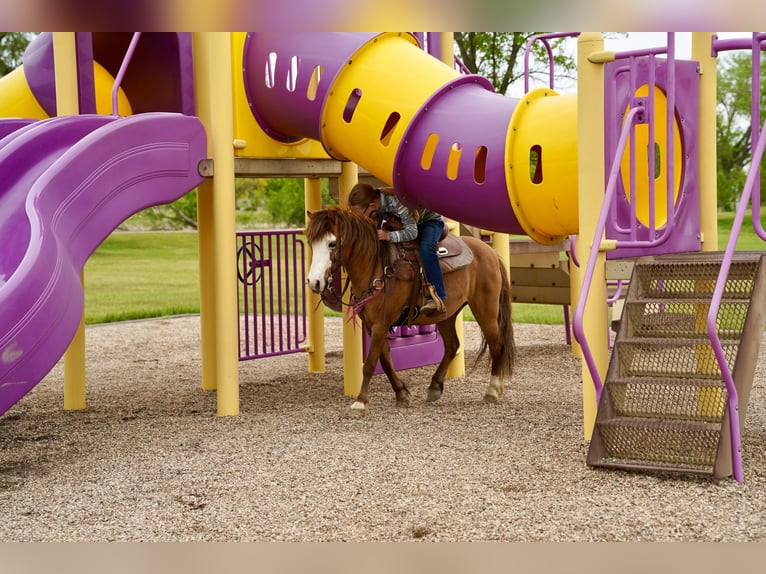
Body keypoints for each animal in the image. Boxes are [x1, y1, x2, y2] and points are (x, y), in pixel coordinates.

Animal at [305, 205, 515, 412]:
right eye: (311, 243)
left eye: (332, 244)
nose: (314, 282)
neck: (377, 264)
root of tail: (491, 253)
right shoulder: (373, 326)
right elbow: (386, 360)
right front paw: (401, 394)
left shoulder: (381, 324)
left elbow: (371, 363)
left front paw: (361, 401)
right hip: (446, 315)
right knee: (452, 345)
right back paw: (434, 387)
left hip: (485, 310)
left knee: (497, 345)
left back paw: (492, 390)